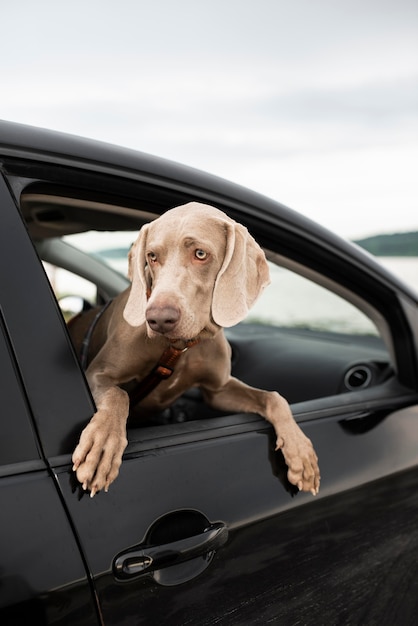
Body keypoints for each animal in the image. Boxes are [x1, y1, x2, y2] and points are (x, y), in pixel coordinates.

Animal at [69, 202, 320, 494]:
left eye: (200, 254)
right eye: (152, 256)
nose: (158, 319)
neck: (180, 347)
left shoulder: (218, 391)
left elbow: (274, 397)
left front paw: (301, 453)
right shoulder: (97, 373)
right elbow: (118, 395)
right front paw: (102, 447)